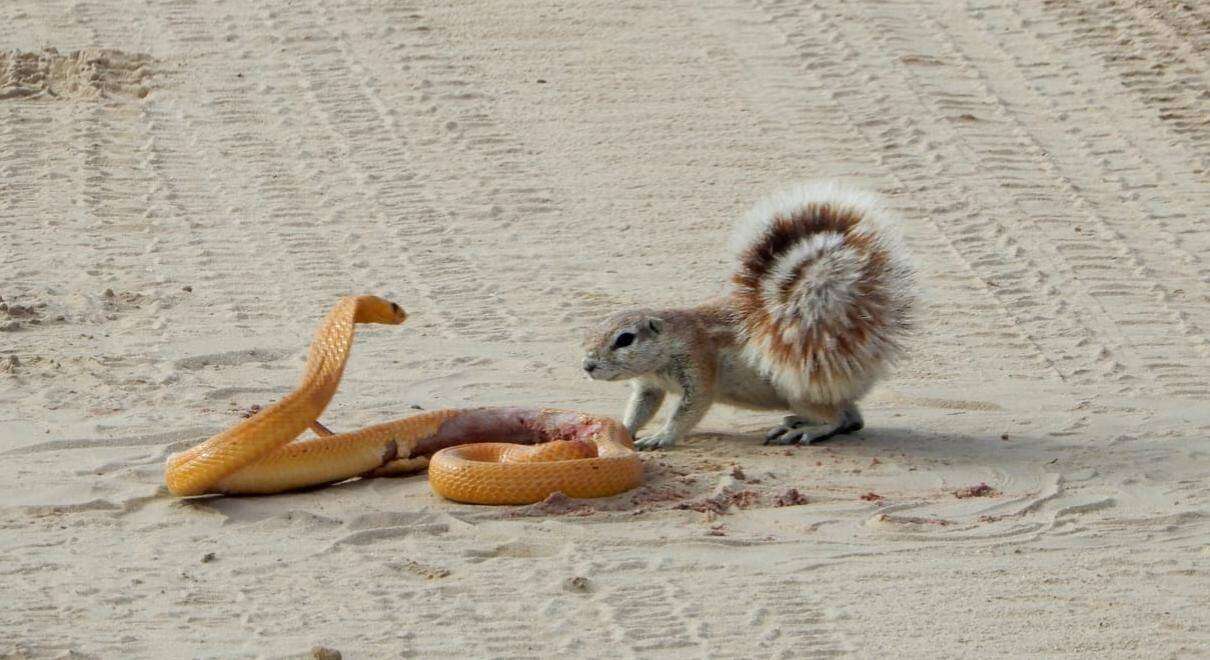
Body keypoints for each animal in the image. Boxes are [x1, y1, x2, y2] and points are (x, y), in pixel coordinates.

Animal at [580, 181, 909, 448]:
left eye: (625, 339)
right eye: (590, 333)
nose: (587, 366)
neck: (667, 347)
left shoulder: (699, 365)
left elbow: (688, 410)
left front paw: (661, 437)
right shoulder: (648, 387)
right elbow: (640, 409)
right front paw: (621, 429)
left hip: (797, 389)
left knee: (838, 418)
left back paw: (806, 430)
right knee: (852, 419)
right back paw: (797, 422)